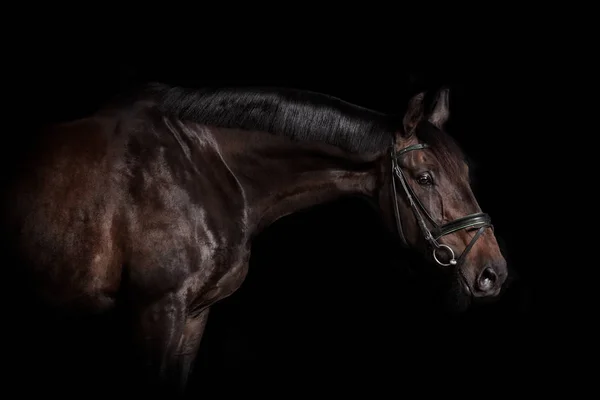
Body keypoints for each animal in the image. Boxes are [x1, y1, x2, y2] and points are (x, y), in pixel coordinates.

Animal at [0, 83, 508, 396]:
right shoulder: (156, 309)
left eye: (466, 173)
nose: (492, 272)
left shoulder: (193, 315)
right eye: (424, 178)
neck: (201, 167)